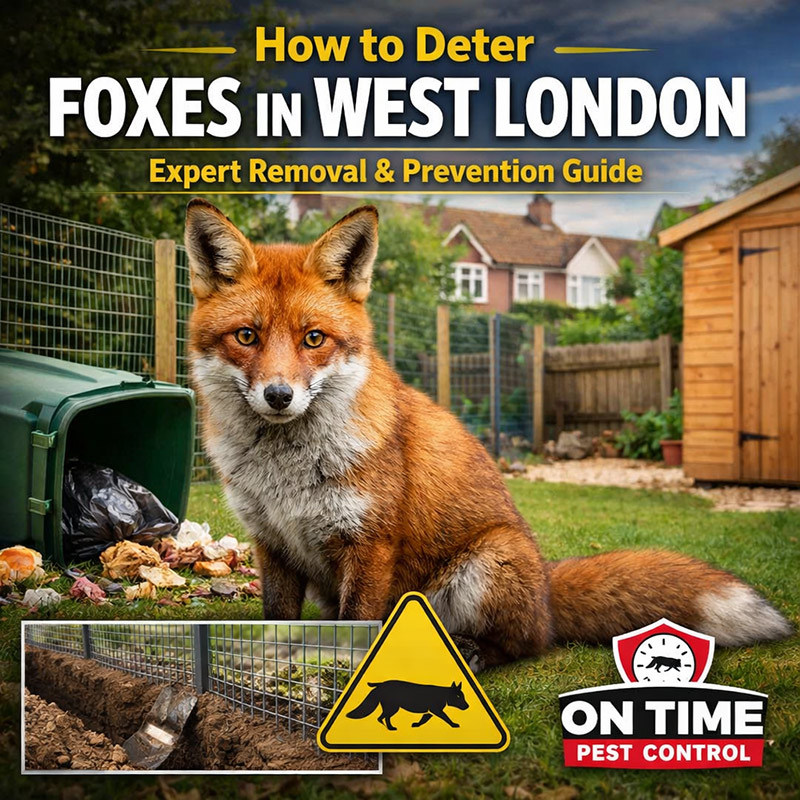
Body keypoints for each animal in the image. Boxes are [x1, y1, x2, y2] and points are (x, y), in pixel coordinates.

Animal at [185, 198, 793, 671]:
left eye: (313, 338)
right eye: (246, 336)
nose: (279, 396)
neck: (285, 474)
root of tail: (546, 584)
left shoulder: (369, 545)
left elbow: (358, 627)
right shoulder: (274, 544)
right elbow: (275, 622)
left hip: (486, 564)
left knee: (527, 645)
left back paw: (476, 652)